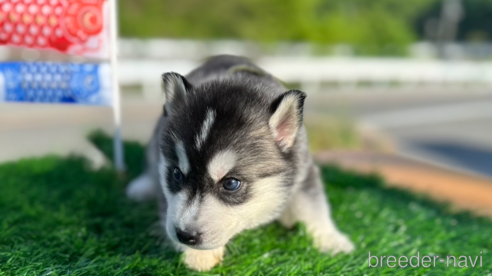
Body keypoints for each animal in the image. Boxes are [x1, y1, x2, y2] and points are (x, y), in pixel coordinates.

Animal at [127, 55, 354, 270]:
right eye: (177, 174)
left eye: (231, 183)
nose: (185, 235)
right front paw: (199, 255)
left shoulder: (303, 171)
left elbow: (313, 207)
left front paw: (332, 240)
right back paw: (142, 187)